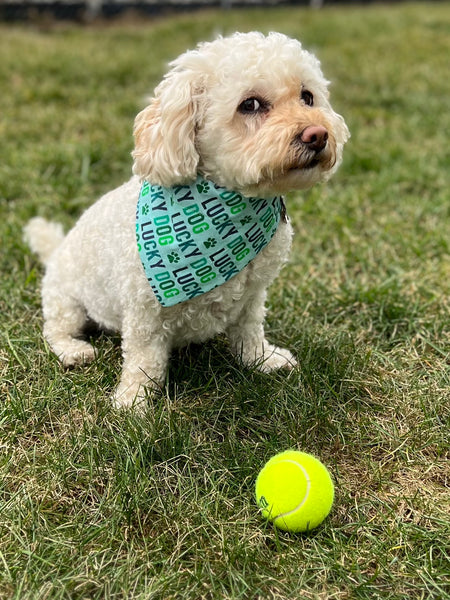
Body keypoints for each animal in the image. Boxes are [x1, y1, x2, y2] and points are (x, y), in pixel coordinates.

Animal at [23, 31, 348, 408]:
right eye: (250, 105)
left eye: (307, 96)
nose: (318, 134)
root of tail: (56, 250)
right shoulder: (144, 312)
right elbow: (144, 358)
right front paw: (134, 401)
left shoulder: (253, 295)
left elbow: (249, 331)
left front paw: (262, 360)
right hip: (66, 300)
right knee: (54, 329)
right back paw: (74, 351)